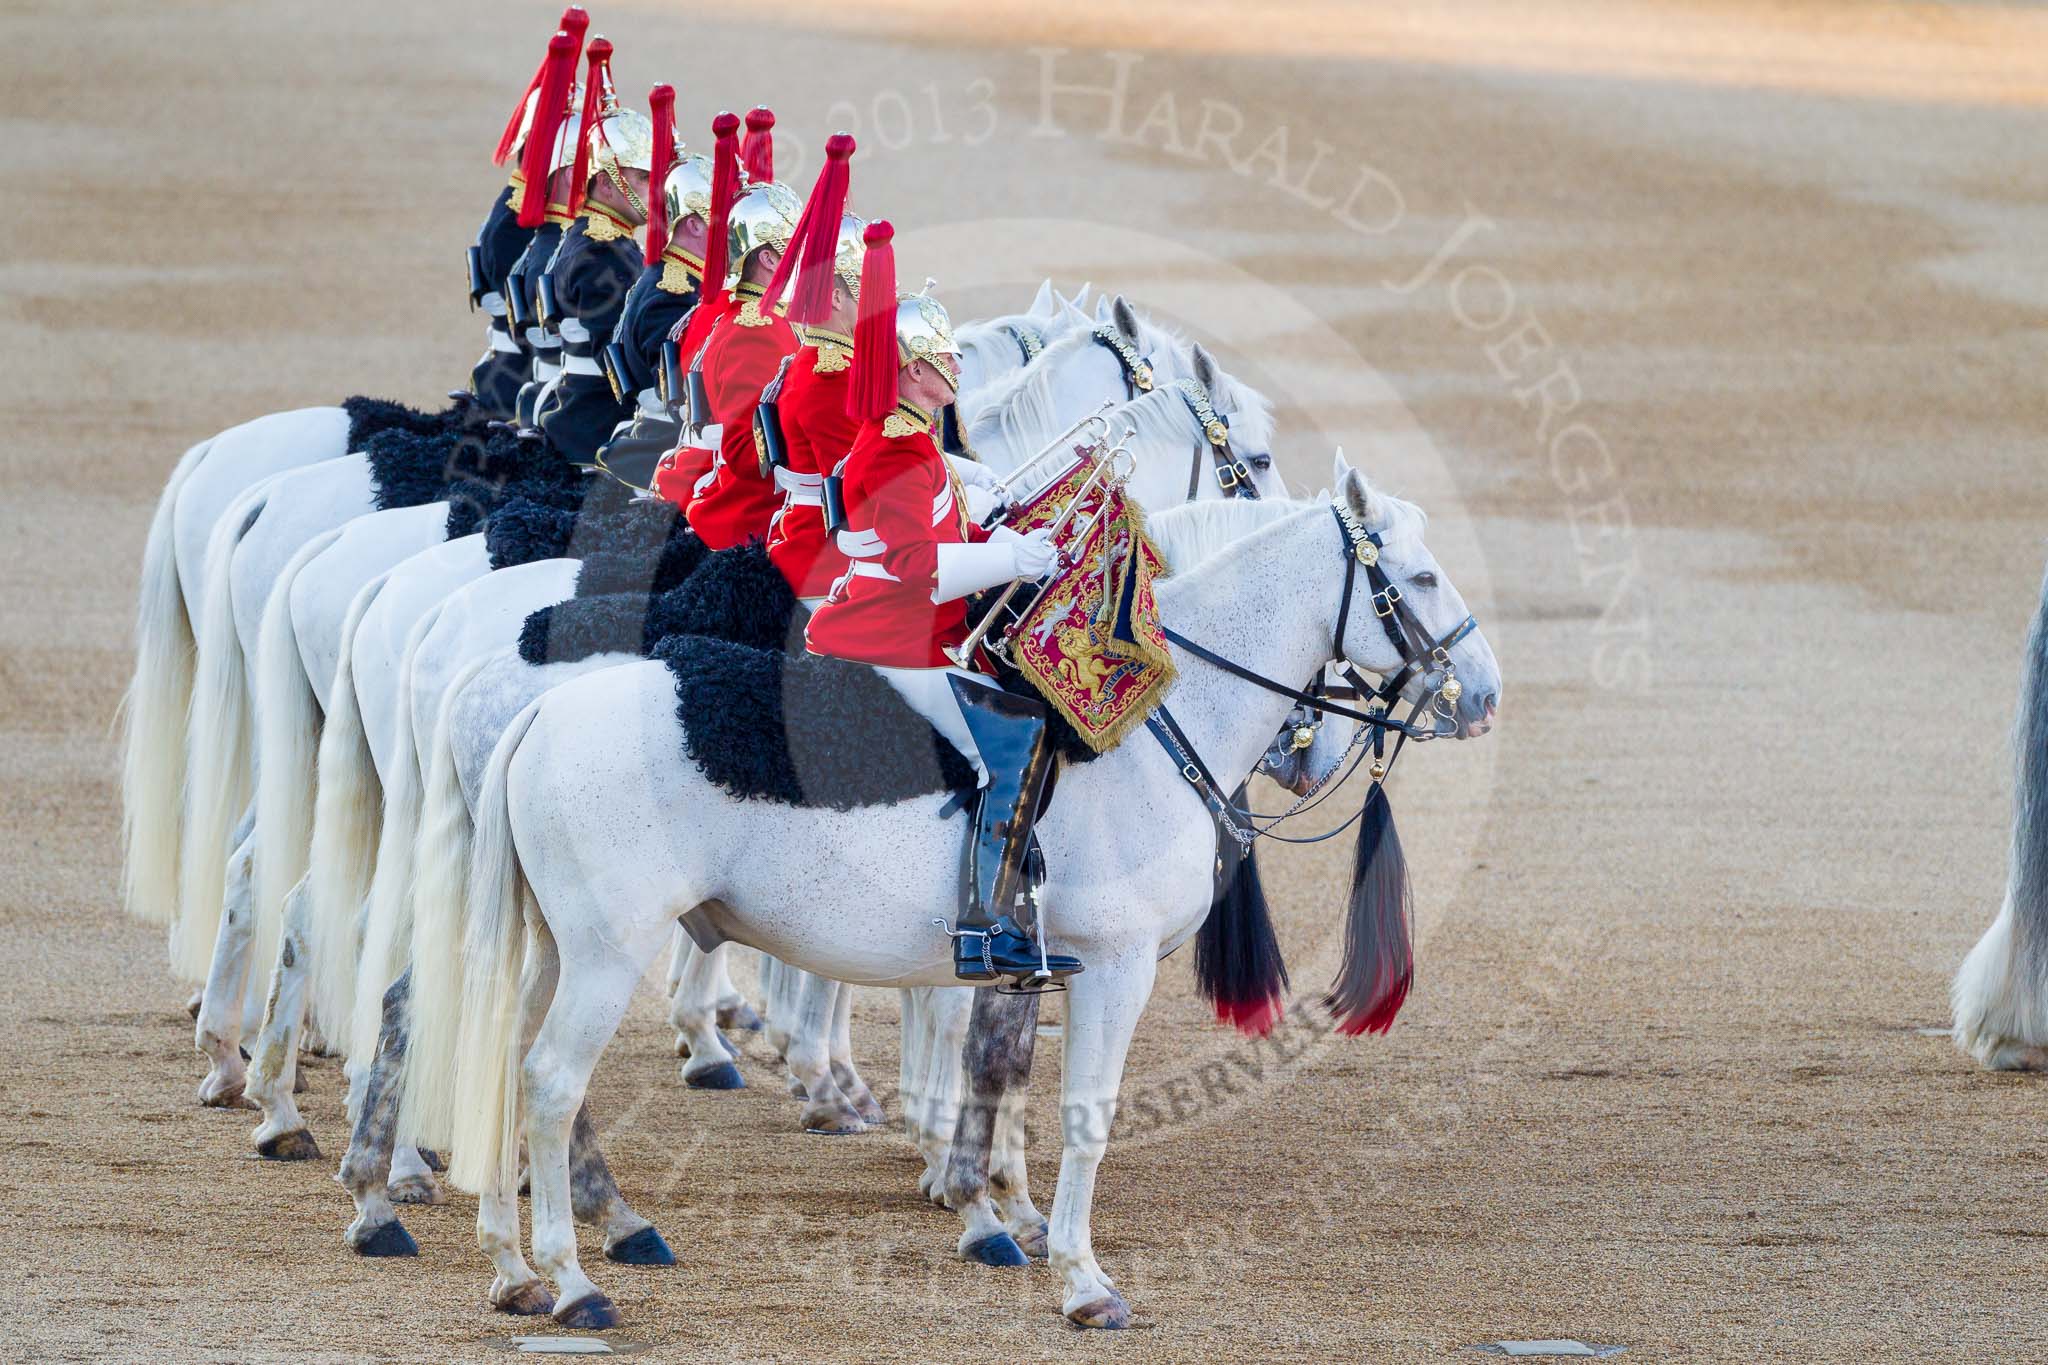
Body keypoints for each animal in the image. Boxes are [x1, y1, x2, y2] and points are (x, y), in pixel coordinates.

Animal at [409, 458, 1499, 1329]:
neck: (1147, 721)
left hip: (552, 947)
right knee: (552, 1083)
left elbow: (998, 1081)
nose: (1483, 696)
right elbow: (1084, 1112)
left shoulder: (1031, 966)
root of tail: (542, 706)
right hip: (605, 953)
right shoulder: (1112, 969)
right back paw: (572, 1277)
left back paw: (514, 1266)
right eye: (1417, 575)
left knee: (506, 1061)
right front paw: (1078, 1278)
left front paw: (995, 1211)